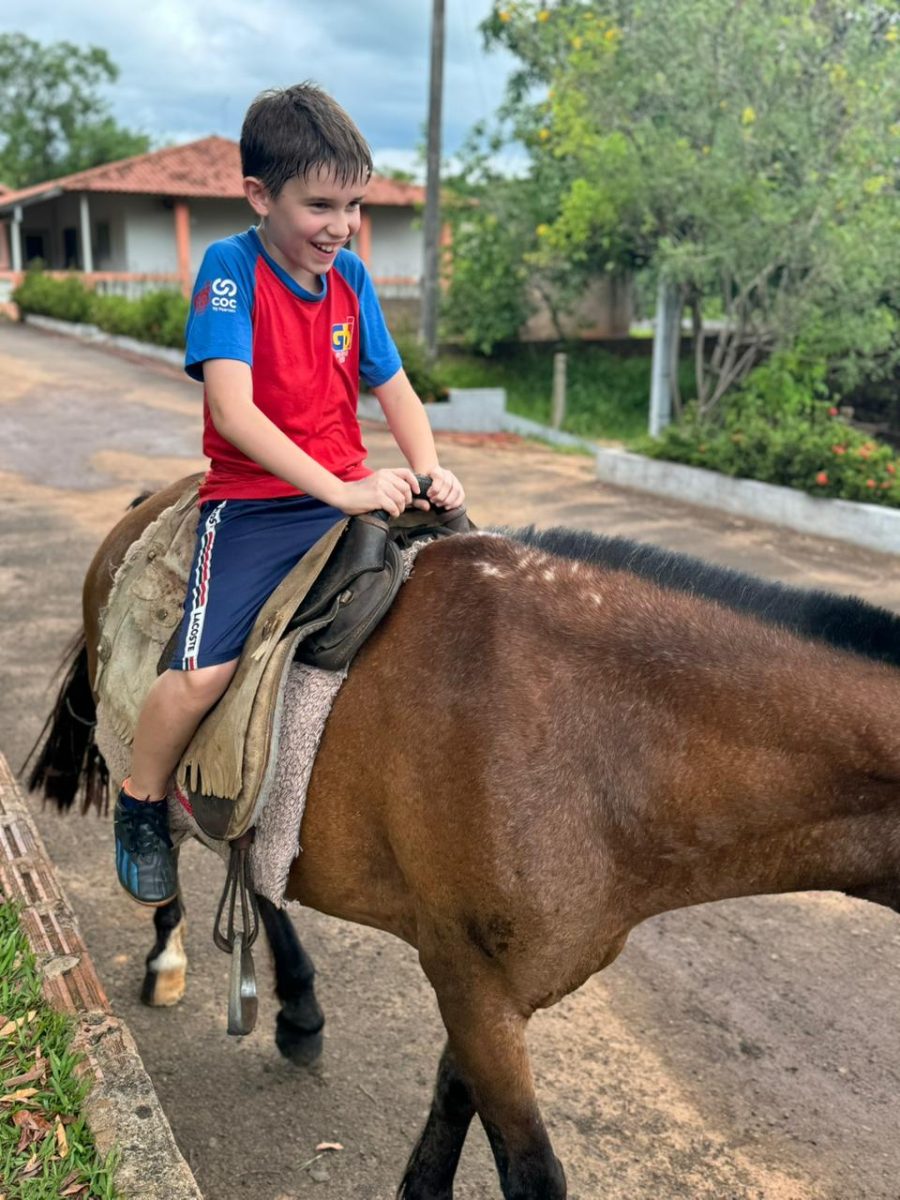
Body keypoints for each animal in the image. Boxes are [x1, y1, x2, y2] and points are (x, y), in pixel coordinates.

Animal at [27, 475, 900, 1200]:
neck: (603, 741)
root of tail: (145, 505)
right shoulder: (473, 983)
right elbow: (529, 1171)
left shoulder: (485, 980)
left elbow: (448, 1112)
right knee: (158, 826)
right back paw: (166, 949)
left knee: (260, 871)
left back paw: (298, 1008)